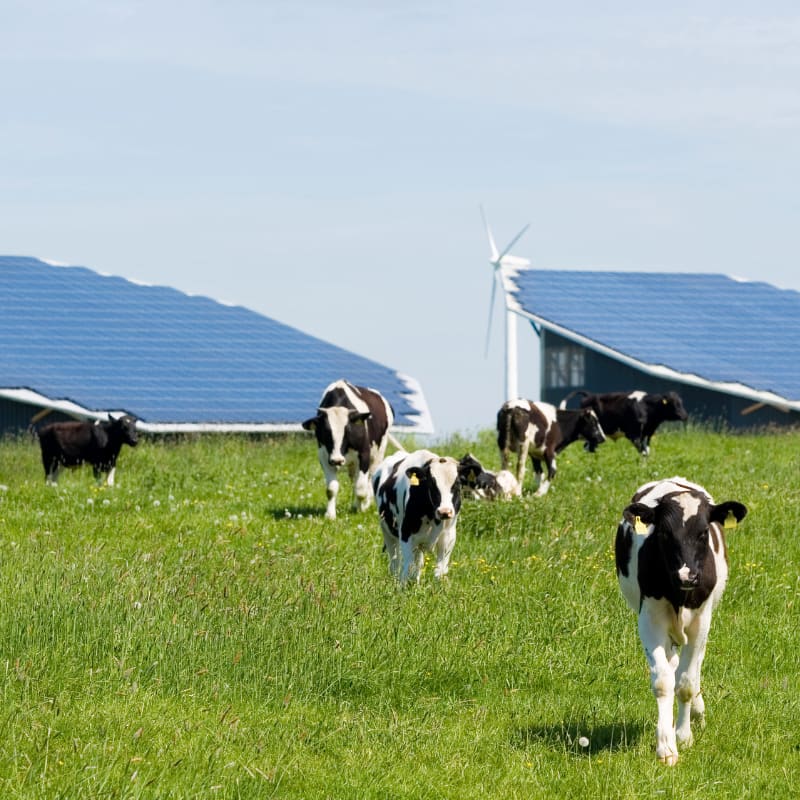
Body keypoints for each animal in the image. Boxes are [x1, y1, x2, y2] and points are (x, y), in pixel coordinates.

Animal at [304, 380, 394, 520]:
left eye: (348, 431)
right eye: (325, 432)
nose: (337, 460)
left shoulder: (364, 455)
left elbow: (361, 489)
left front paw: (361, 509)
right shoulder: (324, 456)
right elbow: (331, 489)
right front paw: (330, 515)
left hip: (378, 453)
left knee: (369, 478)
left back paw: (367, 502)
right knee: (354, 480)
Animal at [616, 478, 748, 764]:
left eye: (703, 532)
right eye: (665, 533)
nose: (687, 575)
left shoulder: (701, 621)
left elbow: (686, 682)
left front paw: (684, 736)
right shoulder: (650, 619)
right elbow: (663, 681)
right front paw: (666, 746)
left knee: (693, 667)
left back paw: (697, 710)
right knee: (672, 664)